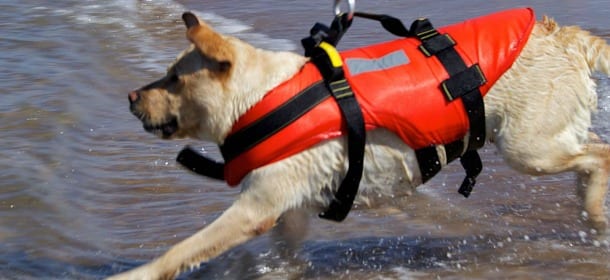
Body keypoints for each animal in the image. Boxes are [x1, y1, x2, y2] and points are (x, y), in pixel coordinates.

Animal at [111, 9, 604, 278]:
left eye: (175, 79)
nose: (131, 96)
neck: (261, 97)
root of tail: (562, 34)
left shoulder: (256, 208)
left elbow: (180, 251)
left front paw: (137, 274)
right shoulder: (288, 210)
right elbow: (286, 255)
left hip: (529, 148)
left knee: (602, 155)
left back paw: (595, 209)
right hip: (546, 136)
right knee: (593, 143)